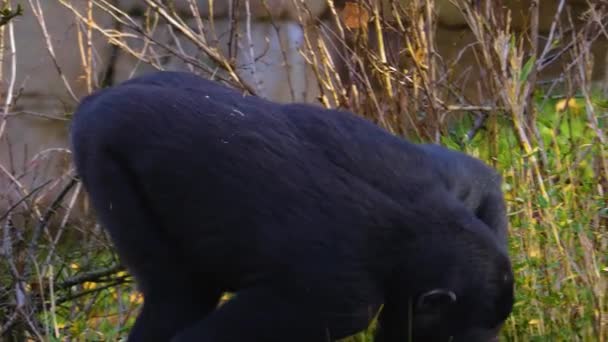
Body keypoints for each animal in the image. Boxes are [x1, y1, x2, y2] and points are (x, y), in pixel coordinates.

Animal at [70, 71, 512, 340]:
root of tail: (97, 100)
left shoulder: (449, 177)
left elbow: (483, 179)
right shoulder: (337, 301)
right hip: (105, 156)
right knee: (177, 296)